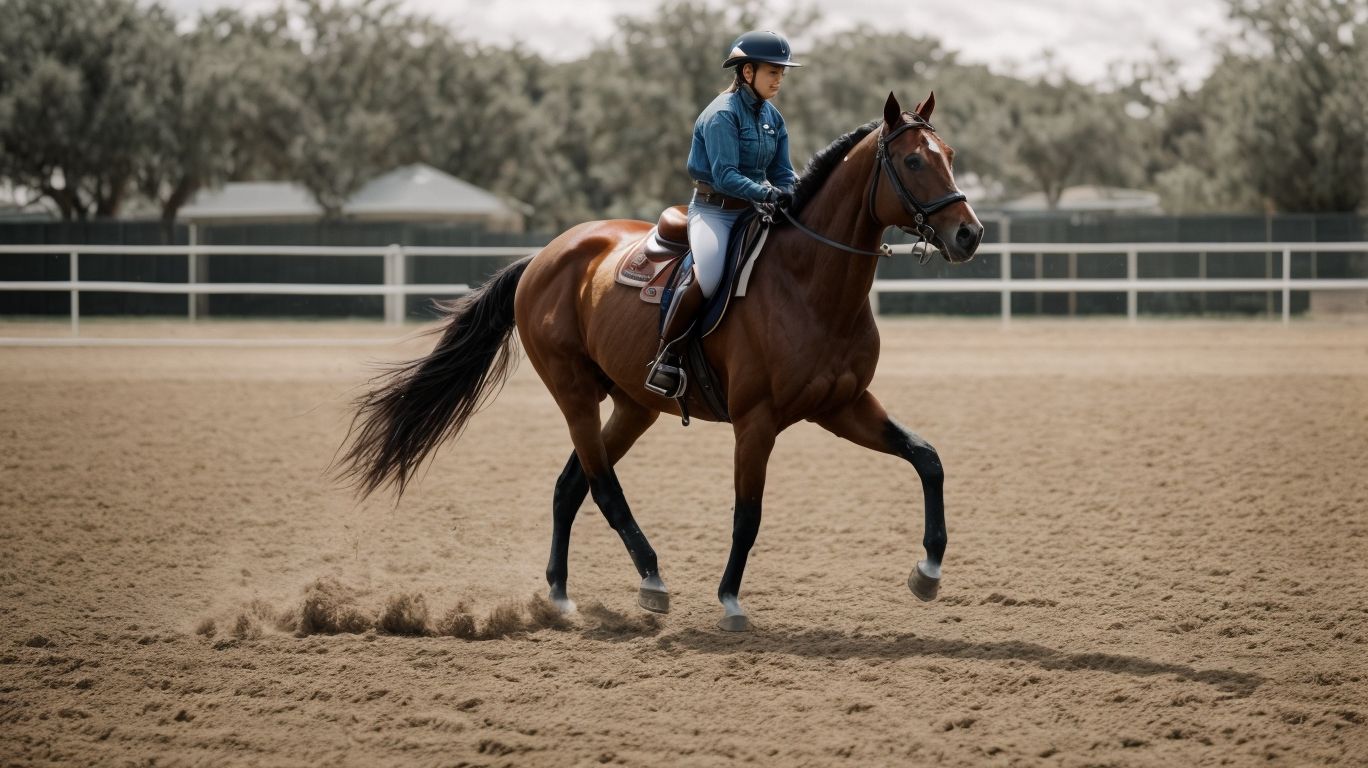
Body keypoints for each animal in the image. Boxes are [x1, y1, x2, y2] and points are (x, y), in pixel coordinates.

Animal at [336, 92, 983, 631]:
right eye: (915, 162)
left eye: (950, 154)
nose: (969, 235)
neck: (810, 283)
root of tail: (543, 257)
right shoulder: (757, 423)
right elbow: (747, 515)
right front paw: (729, 601)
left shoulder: (843, 405)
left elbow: (927, 459)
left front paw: (927, 572)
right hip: (575, 395)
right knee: (600, 486)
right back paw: (650, 580)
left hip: (633, 405)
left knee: (569, 486)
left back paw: (561, 597)